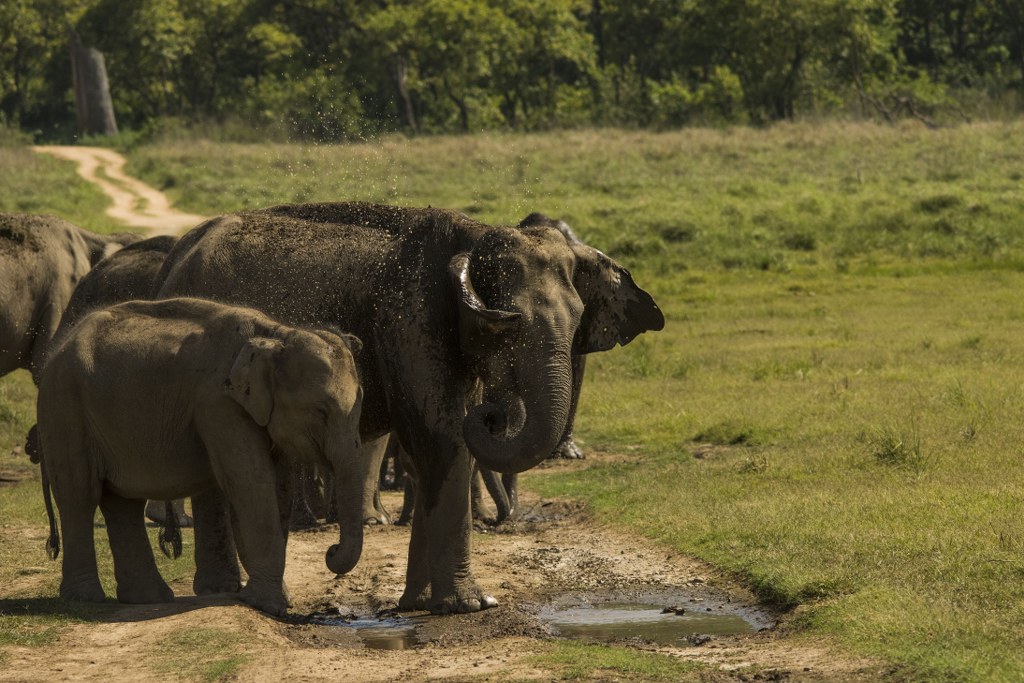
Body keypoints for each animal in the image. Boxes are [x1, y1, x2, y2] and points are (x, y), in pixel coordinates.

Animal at [39, 296, 368, 618]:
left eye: (360, 403)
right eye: (320, 411)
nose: (331, 550)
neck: (275, 334)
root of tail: (57, 350)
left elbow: (277, 486)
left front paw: (269, 599)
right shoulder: (217, 404)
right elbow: (250, 480)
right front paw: (269, 605)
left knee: (122, 502)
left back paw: (148, 598)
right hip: (65, 409)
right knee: (80, 494)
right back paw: (86, 599)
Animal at [151, 201, 663, 614]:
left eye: (578, 322)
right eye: (509, 324)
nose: (494, 414)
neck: (473, 236)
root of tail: (174, 259)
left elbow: (436, 450)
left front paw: (420, 604)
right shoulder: (412, 319)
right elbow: (443, 437)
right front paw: (469, 606)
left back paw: (222, 590)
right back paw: (222, 592)